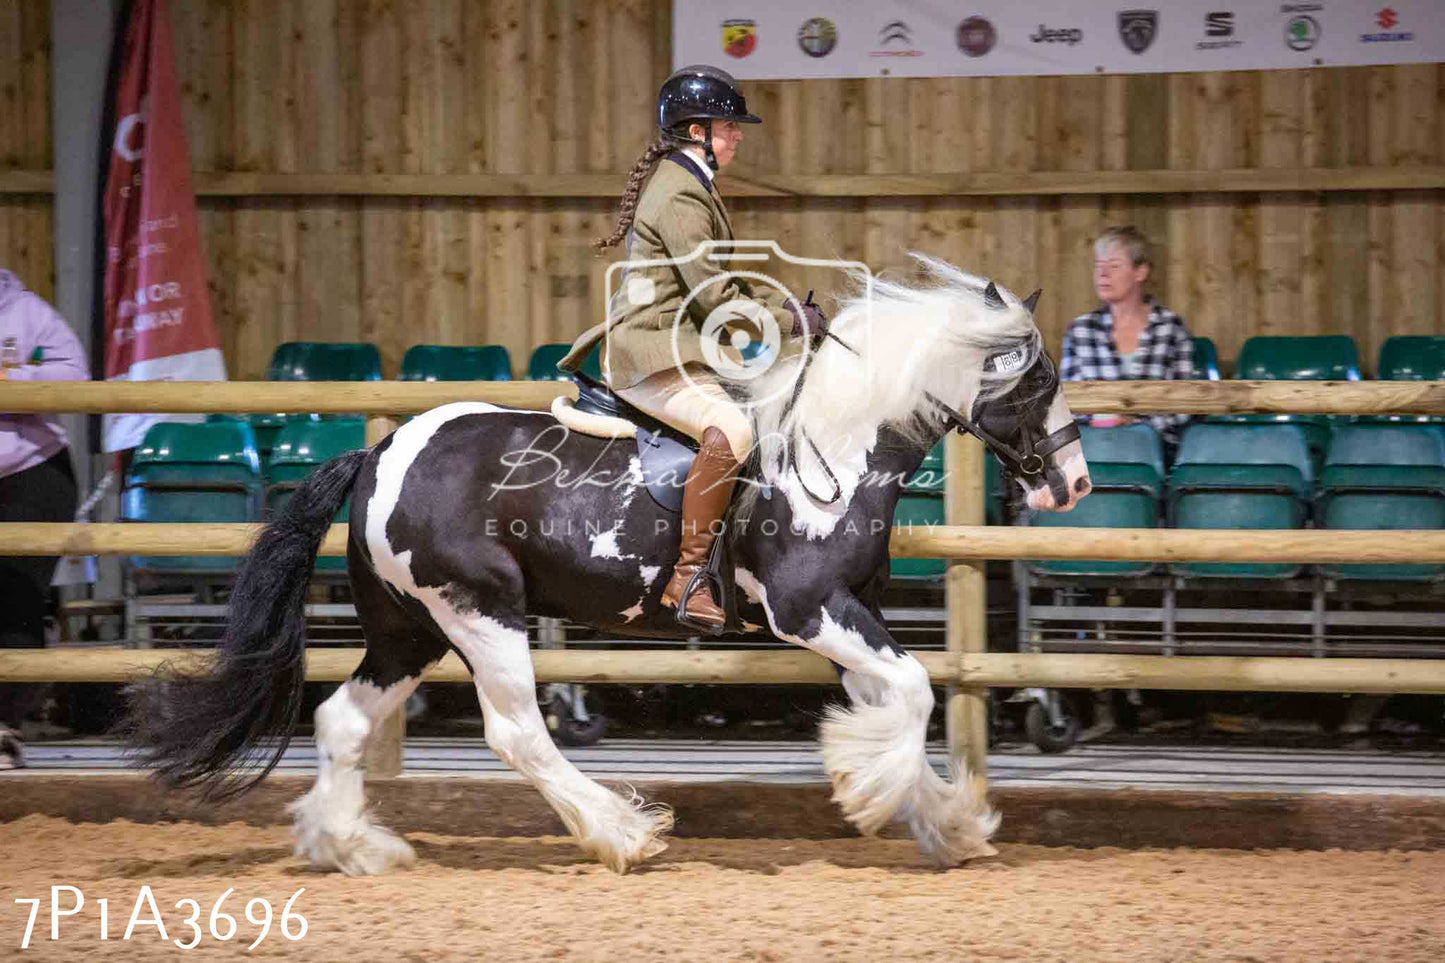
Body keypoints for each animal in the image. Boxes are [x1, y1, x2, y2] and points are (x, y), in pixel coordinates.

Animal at [124, 253, 1086, 867]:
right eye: (1037, 382)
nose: (1073, 480)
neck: (837, 444)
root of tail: (381, 451)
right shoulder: (811, 609)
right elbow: (915, 691)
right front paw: (876, 794)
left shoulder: (850, 615)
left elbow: (897, 699)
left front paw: (946, 821)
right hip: (479, 611)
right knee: (517, 732)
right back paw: (621, 831)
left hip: (409, 630)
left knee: (342, 723)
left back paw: (350, 844)